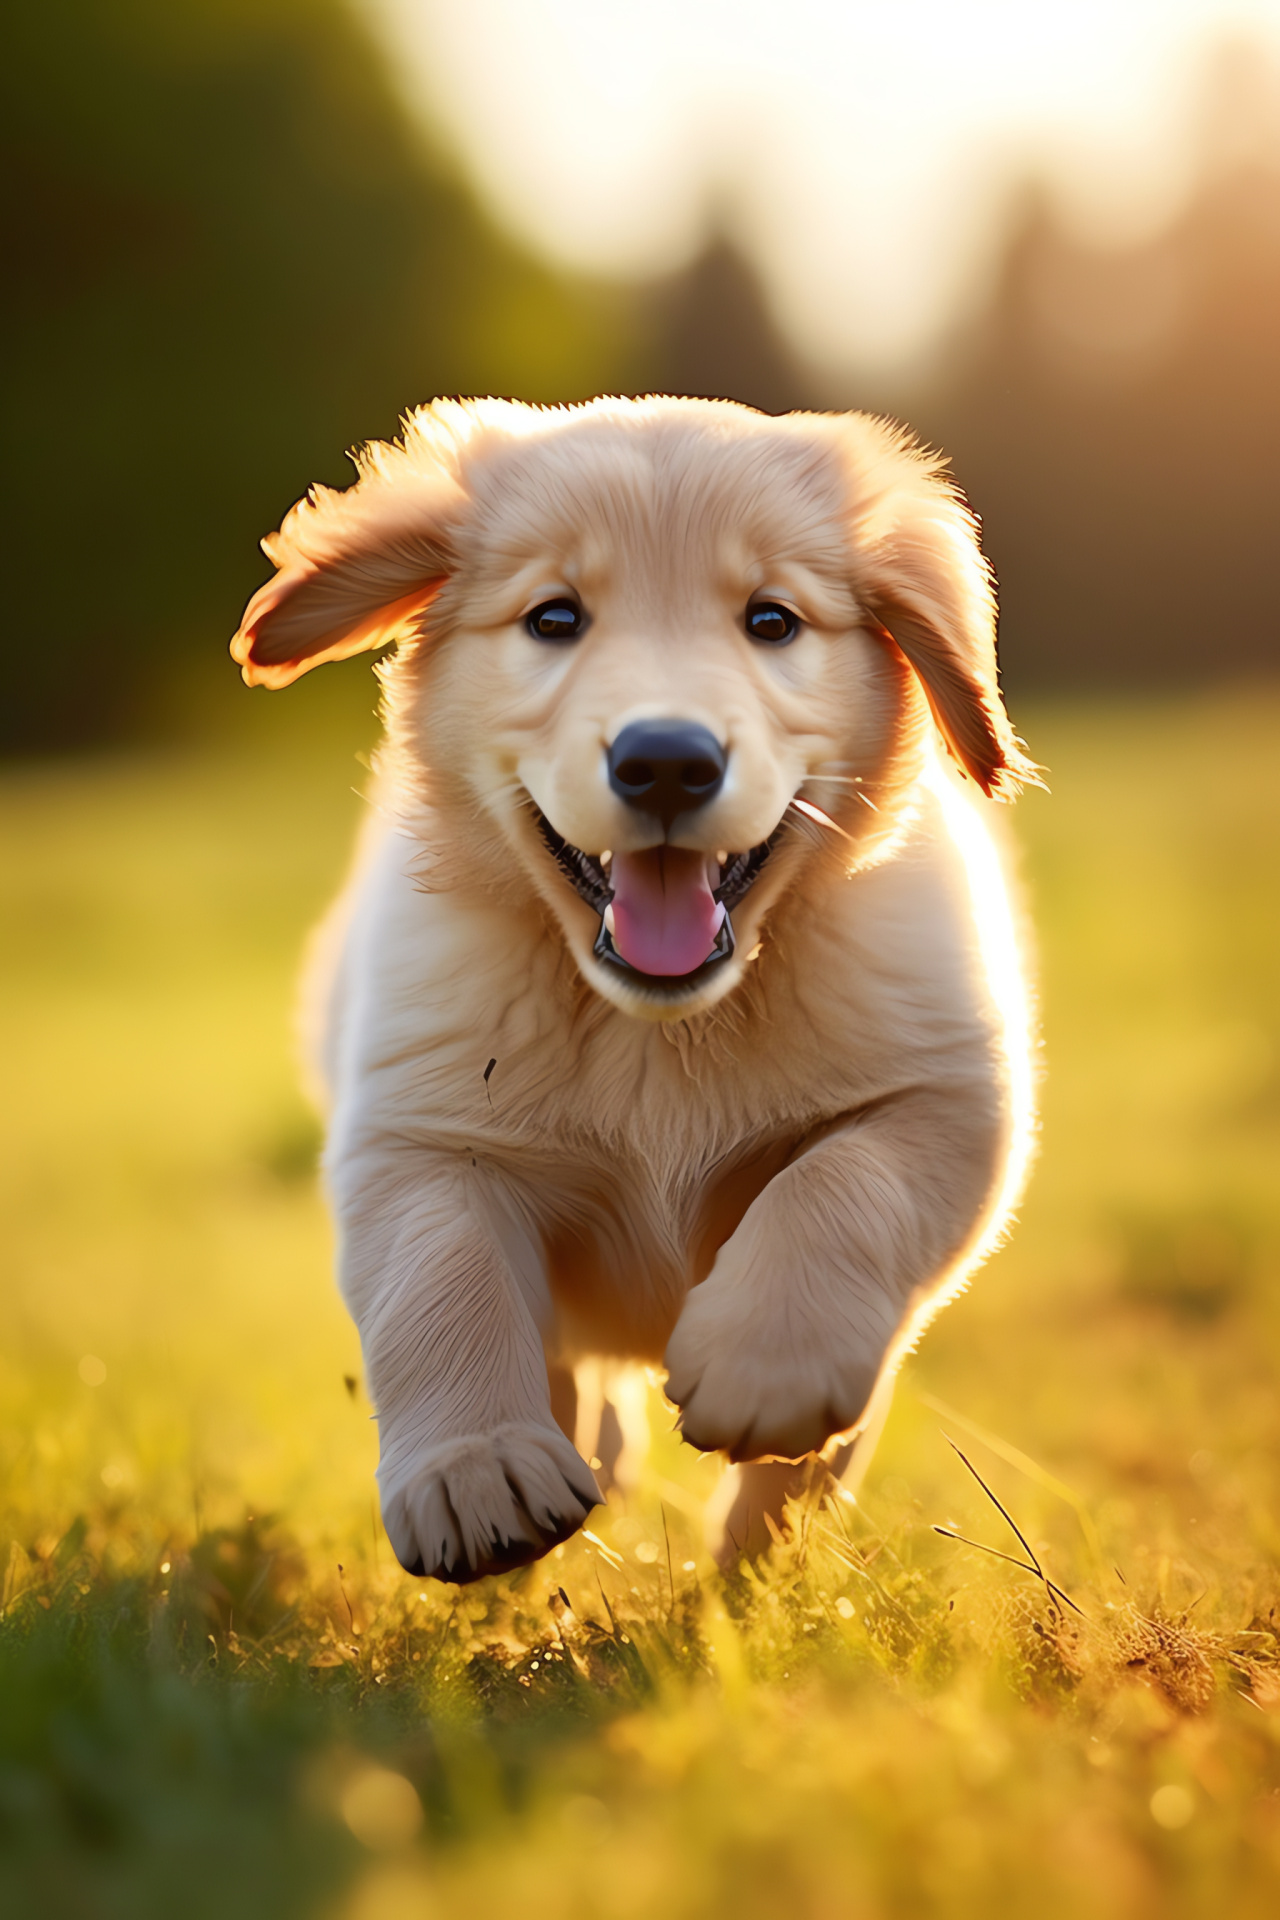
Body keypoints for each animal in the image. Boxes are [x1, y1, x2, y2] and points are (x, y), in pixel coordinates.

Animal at [230, 397, 1036, 1582]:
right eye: (554, 618)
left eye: (771, 621)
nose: (665, 761)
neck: (660, 1025)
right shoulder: (416, 1132)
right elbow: (441, 1277)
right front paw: (476, 1466)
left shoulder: (944, 1092)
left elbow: (843, 1183)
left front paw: (767, 1369)